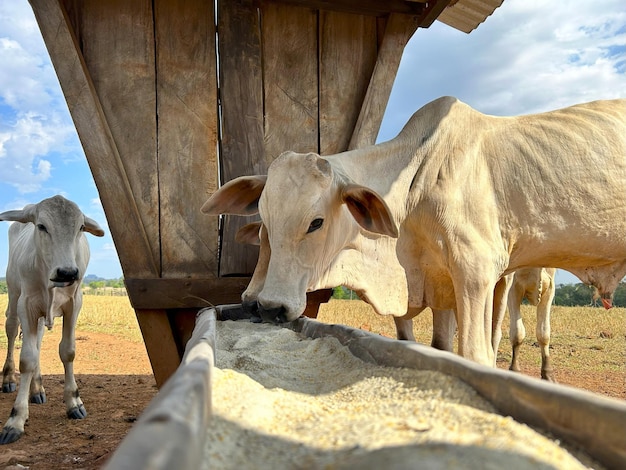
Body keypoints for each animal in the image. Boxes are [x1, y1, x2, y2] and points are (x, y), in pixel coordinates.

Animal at [0, 196, 105, 444]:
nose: (67, 272)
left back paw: (37, 389)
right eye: (41, 226)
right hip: (13, 295)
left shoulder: (74, 303)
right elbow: (27, 358)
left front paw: (74, 402)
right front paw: (16, 419)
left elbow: (67, 351)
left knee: (37, 342)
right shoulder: (26, 304)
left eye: (80, 228)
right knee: (11, 330)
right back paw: (8, 379)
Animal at [201, 96, 624, 368]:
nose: (267, 307)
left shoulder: (475, 274)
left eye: (316, 222)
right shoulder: (432, 289)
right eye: (264, 222)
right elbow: (431, 346)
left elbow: (475, 355)